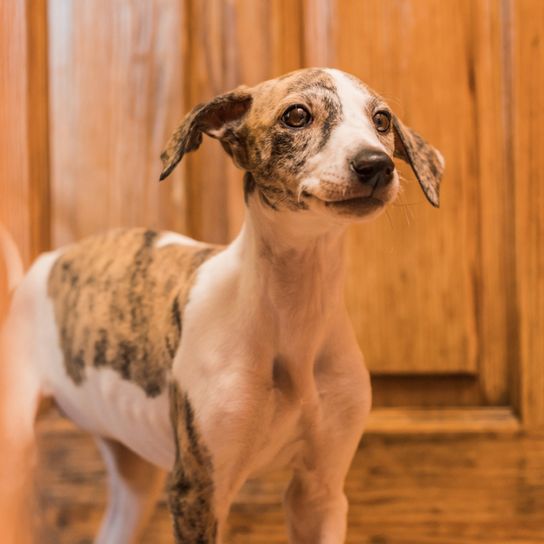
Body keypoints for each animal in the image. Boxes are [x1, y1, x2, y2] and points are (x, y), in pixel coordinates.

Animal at [0, 69, 442, 544]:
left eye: (381, 119)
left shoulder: (320, 492)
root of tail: (41, 266)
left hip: (135, 475)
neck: (292, 319)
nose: (376, 165)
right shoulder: (198, 491)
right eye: (296, 115)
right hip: (16, 447)